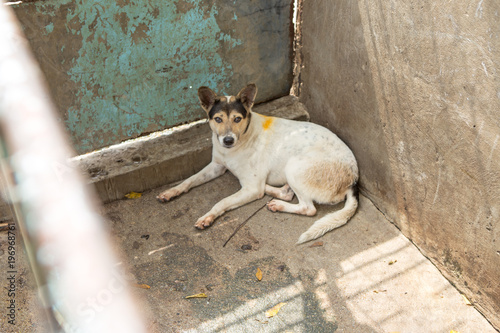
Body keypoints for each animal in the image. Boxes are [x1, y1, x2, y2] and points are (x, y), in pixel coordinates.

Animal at [158, 84, 358, 243]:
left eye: (237, 119)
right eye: (218, 119)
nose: (228, 140)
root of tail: (354, 180)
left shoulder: (251, 188)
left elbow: (222, 202)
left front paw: (208, 217)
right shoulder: (217, 166)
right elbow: (189, 180)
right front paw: (171, 191)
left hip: (294, 166)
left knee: (308, 208)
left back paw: (279, 204)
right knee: (285, 193)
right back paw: (278, 191)